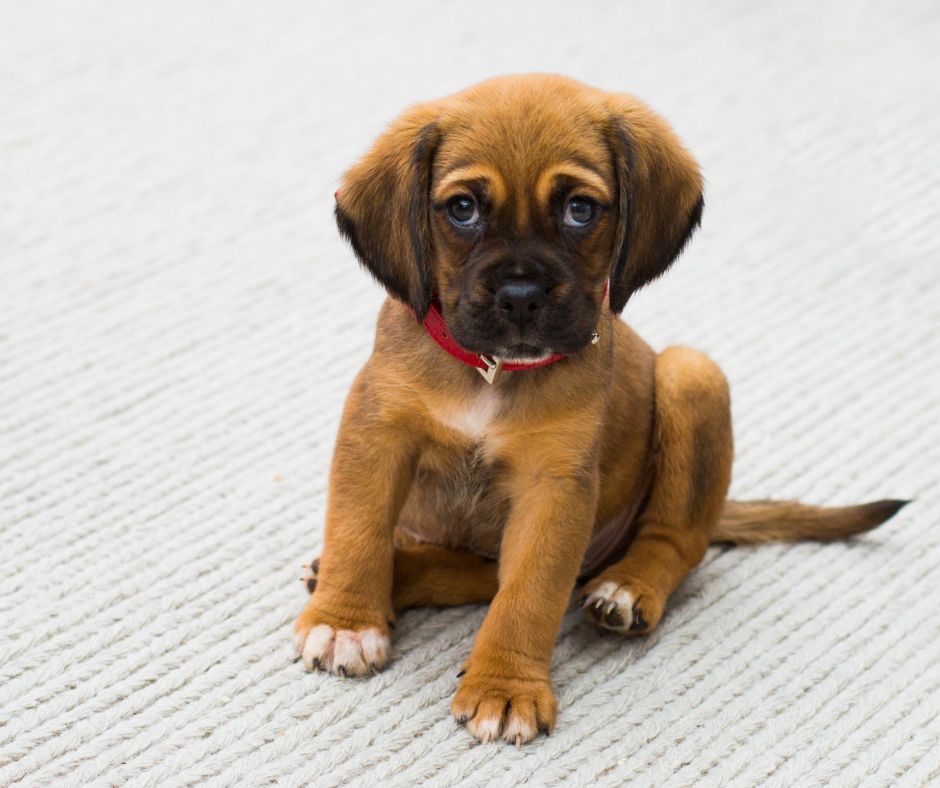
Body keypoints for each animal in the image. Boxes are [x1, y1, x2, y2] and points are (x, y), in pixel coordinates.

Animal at [296, 74, 912, 744]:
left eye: (580, 210)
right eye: (462, 209)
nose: (521, 296)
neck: (492, 373)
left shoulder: (555, 488)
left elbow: (530, 595)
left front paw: (505, 687)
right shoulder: (376, 434)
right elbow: (358, 530)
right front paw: (346, 620)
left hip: (692, 376)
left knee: (673, 542)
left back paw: (628, 588)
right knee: (475, 572)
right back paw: (391, 574)